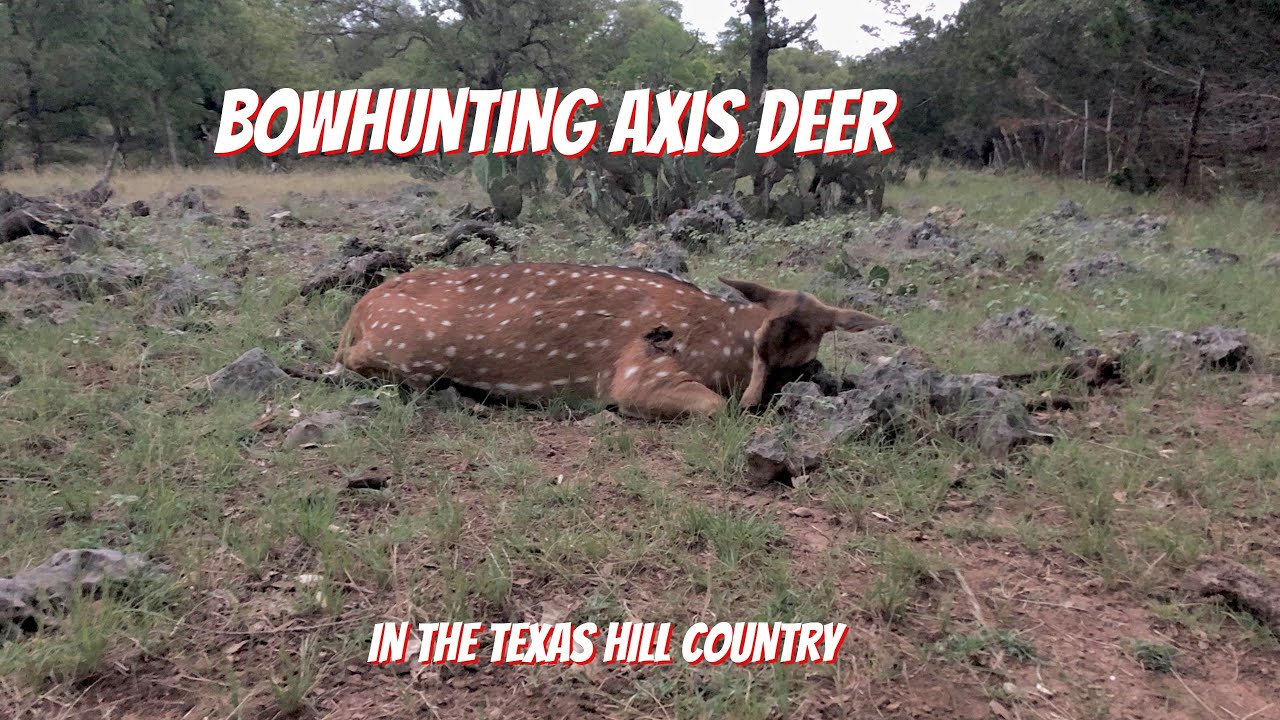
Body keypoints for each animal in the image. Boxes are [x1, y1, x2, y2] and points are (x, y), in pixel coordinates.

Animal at [331, 262, 885, 420]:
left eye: (805, 358)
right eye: (757, 349)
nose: (758, 403)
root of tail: (359, 311)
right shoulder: (640, 371)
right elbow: (711, 406)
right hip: (404, 349)